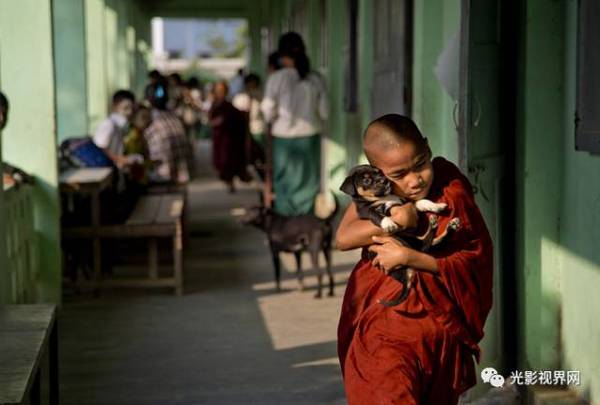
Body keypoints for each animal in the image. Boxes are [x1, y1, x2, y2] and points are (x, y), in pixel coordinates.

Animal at [338, 163, 460, 304]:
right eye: (366, 180)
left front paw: (436, 206)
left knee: (429, 245)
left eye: (379, 172)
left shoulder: (404, 202)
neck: (384, 197)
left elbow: (419, 202)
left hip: (410, 239)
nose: (384, 180)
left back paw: (448, 225)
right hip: (402, 240)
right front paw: (388, 224)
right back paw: (436, 225)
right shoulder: (367, 211)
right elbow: (377, 215)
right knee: (425, 247)